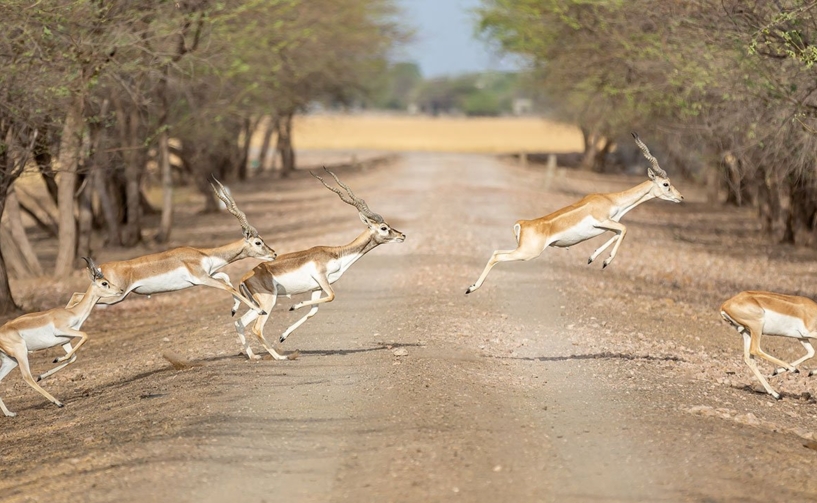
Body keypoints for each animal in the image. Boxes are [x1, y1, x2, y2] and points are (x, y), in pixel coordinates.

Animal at [0, 258, 124, 416]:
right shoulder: (62, 331)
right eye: (104, 283)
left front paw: (44, 373)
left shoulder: (65, 342)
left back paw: (10, 413)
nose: (120, 290)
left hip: (10, 360)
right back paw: (58, 402)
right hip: (21, 353)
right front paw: (56, 359)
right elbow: (85, 335)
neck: (72, 313)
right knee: (27, 377)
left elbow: (73, 357)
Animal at [66, 180, 274, 316]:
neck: (203, 254)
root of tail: (101, 267)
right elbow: (227, 286)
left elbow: (227, 278)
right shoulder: (202, 279)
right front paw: (259, 309)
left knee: (76, 296)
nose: (273, 253)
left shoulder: (209, 274)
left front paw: (233, 310)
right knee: (78, 297)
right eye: (258, 242)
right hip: (116, 296)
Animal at [233, 171, 404, 360]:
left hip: (257, 305)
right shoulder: (322, 279)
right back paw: (279, 357)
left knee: (239, 322)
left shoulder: (316, 287)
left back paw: (253, 356)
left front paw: (283, 335)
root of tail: (244, 278)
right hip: (268, 302)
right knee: (256, 328)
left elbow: (313, 311)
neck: (337, 254)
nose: (402, 235)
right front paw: (294, 306)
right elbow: (331, 297)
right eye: (384, 228)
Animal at [466, 133, 684, 296]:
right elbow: (624, 229)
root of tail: (522, 223)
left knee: (495, 252)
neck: (611, 199)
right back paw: (471, 288)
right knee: (497, 256)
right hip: (527, 253)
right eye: (666, 184)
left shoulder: (606, 225)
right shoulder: (603, 221)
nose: (681, 197)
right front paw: (605, 261)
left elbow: (617, 233)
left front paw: (592, 258)